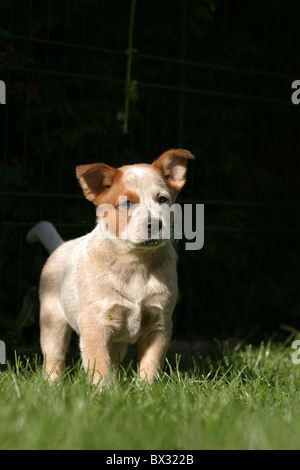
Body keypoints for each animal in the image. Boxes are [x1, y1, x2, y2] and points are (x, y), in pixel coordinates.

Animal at [27, 150, 195, 386]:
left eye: (162, 199)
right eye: (127, 203)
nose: (155, 224)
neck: (136, 264)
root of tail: (62, 244)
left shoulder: (159, 323)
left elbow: (151, 363)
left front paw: (146, 389)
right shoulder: (96, 324)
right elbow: (99, 365)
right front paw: (103, 391)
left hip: (117, 343)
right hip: (53, 321)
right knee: (54, 358)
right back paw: (53, 385)